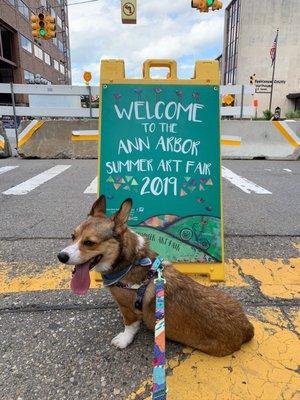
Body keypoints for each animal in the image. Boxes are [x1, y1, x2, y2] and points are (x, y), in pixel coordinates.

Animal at [56, 195, 253, 354]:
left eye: (89, 242)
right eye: (73, 236)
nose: (61, 256)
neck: (128, 261)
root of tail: (246, 328)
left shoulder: (127, 307)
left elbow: (130, 325)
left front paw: (124, 339)